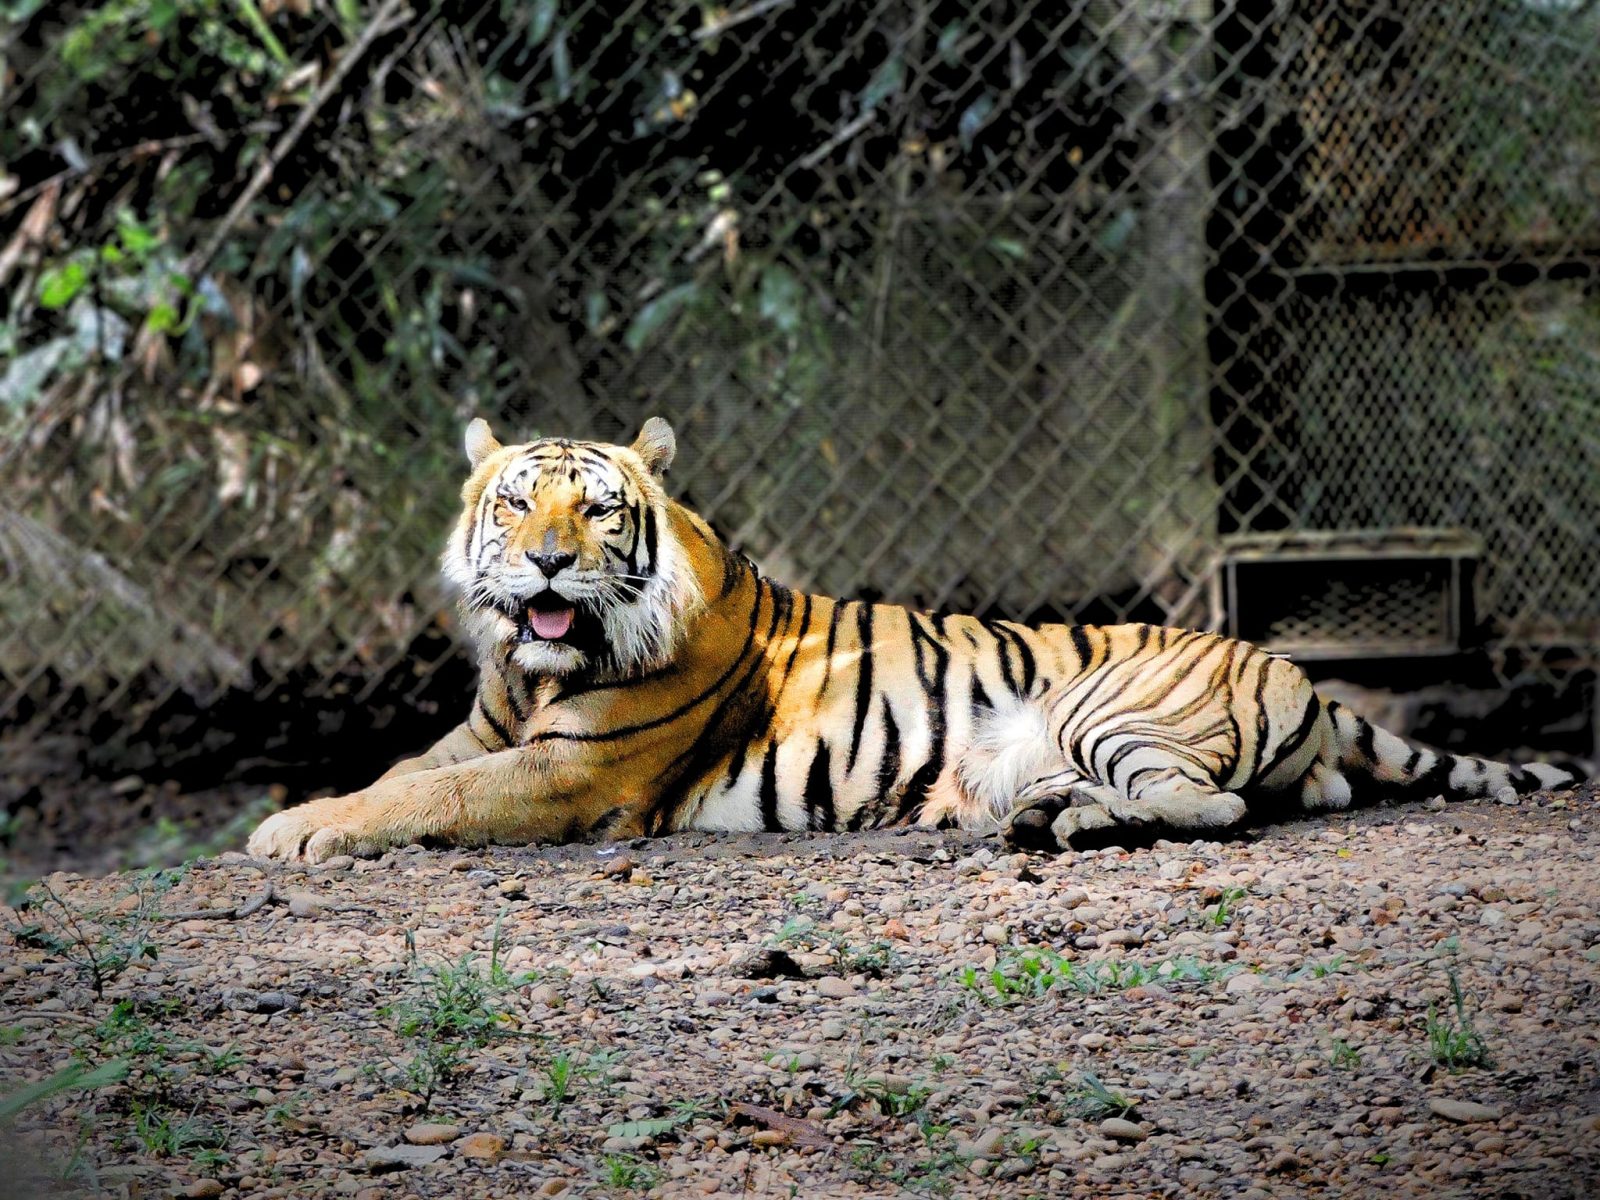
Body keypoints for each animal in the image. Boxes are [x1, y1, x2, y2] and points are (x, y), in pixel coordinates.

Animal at [246, 416, 1587, 864]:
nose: (544, 564)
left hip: (1110, 704)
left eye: (597, 510)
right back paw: (1043, 815)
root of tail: (1289, 665)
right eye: (518, 503)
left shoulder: (574, 771)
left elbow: (428, 799)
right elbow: (401, 774)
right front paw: (297, 812)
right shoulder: (481, 734)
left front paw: (289, 832)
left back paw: (1065, 828)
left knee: (1213, 807)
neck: (529, 680)